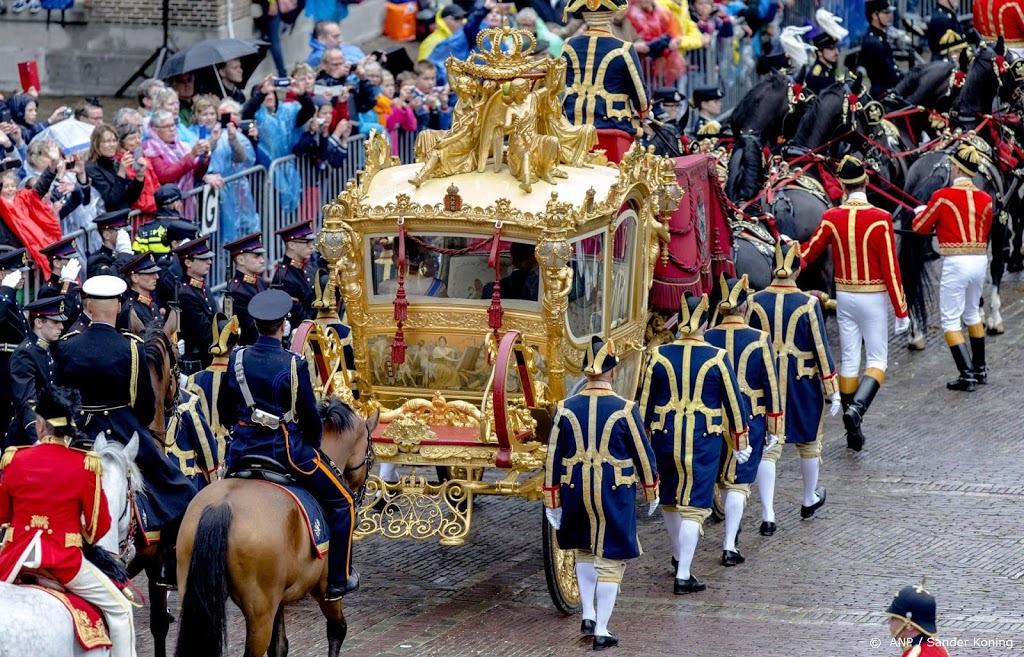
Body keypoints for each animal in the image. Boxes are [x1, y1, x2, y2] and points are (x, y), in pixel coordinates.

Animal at [172, 392, 380, 654]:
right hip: (259, 613)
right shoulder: (325, 590)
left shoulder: (278, 599)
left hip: (195, 597)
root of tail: (222, 505)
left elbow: (279, 646)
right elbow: (337, 630)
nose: (359, 499)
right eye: (371, 456)